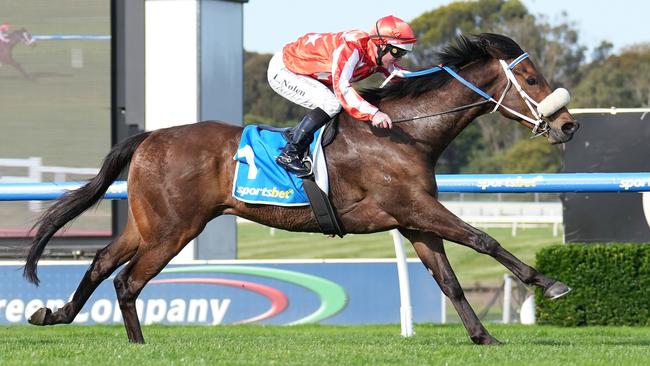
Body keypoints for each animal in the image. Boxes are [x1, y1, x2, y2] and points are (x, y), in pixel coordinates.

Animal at [22, 33, 576, 344]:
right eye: (530, 77)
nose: (568, 125)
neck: (406, 132)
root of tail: (149, 136)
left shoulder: (413, 219)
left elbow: (449, 280)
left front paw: (484, 337)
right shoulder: (415, 205)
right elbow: (484, 239)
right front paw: (549, 282)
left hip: (147, 223)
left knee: (102, 265)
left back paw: (56, 315)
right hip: (173, 230)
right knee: (128, 281)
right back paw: (135, 344)